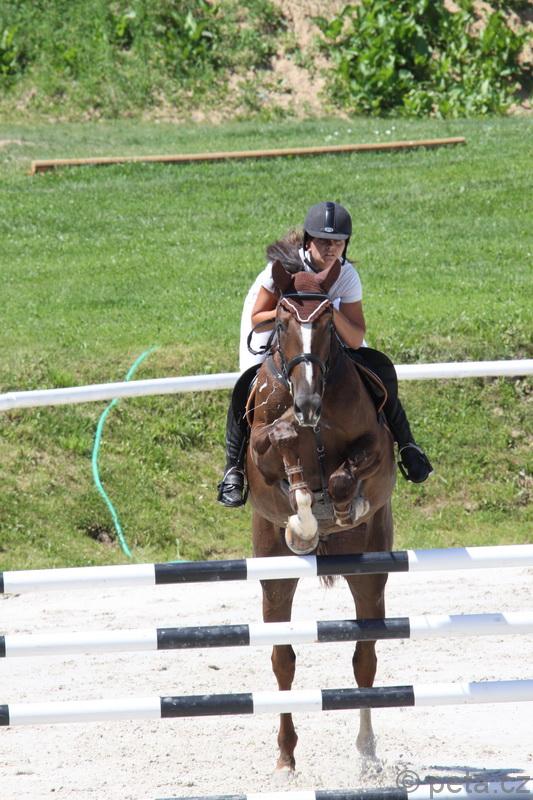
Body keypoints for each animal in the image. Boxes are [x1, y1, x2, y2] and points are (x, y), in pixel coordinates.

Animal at [245, 258, 396, 771]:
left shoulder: (376, 447)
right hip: (273, 577)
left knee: (365, 658)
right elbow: (281, 450)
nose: (307, 404)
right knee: (283, 660)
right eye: (283, 321)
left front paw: (345, 506)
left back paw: (368, 753)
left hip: (370, 575)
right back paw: (286, 757)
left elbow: (346, 475)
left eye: (329, 322)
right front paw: (303, 525)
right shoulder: (260, 454)